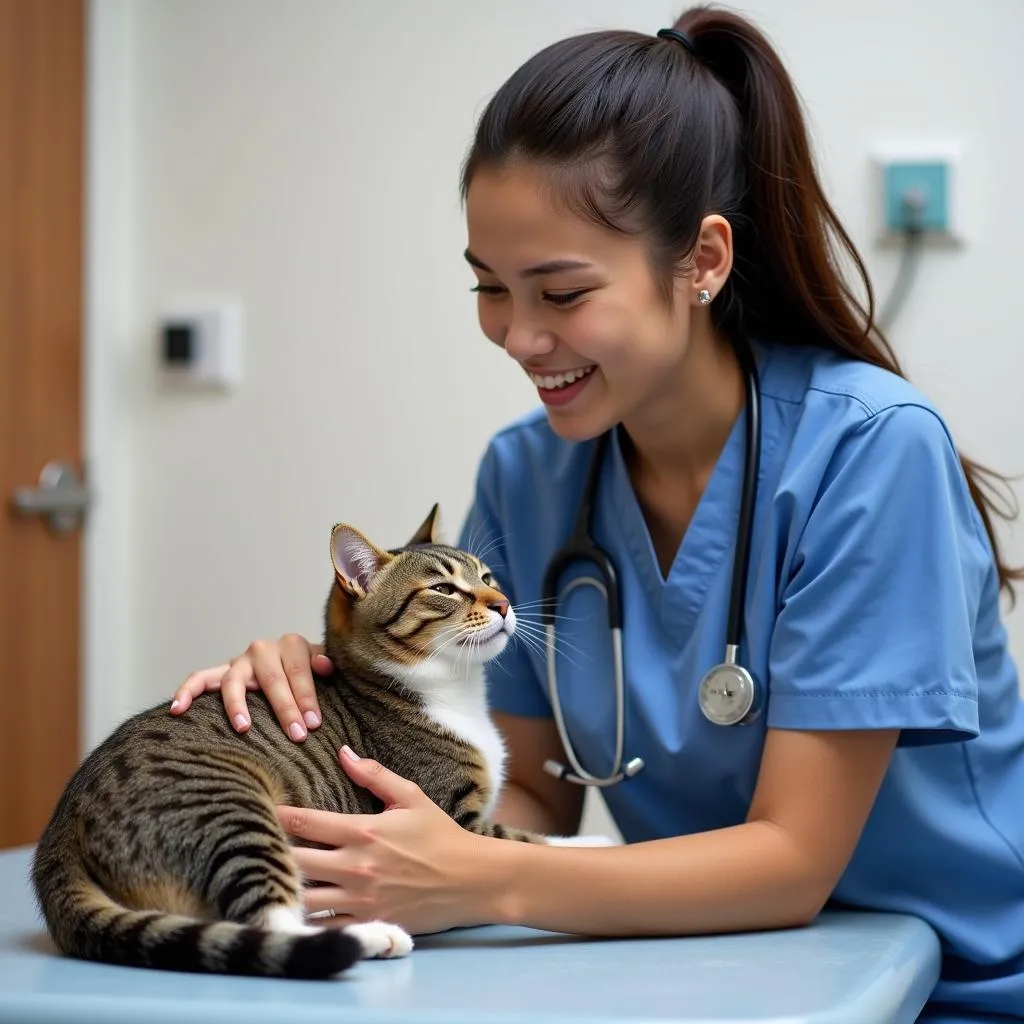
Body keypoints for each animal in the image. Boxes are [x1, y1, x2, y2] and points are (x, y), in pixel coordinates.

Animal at [32, 507, 548, 978]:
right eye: (443, 589)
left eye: (487, 576)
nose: (504, 603)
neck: (453, 693)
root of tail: (59, 830)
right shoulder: (450, 817)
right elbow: (526, 840)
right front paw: (570, 841)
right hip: (229, 811)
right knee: (271, 924)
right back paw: (371, 936)